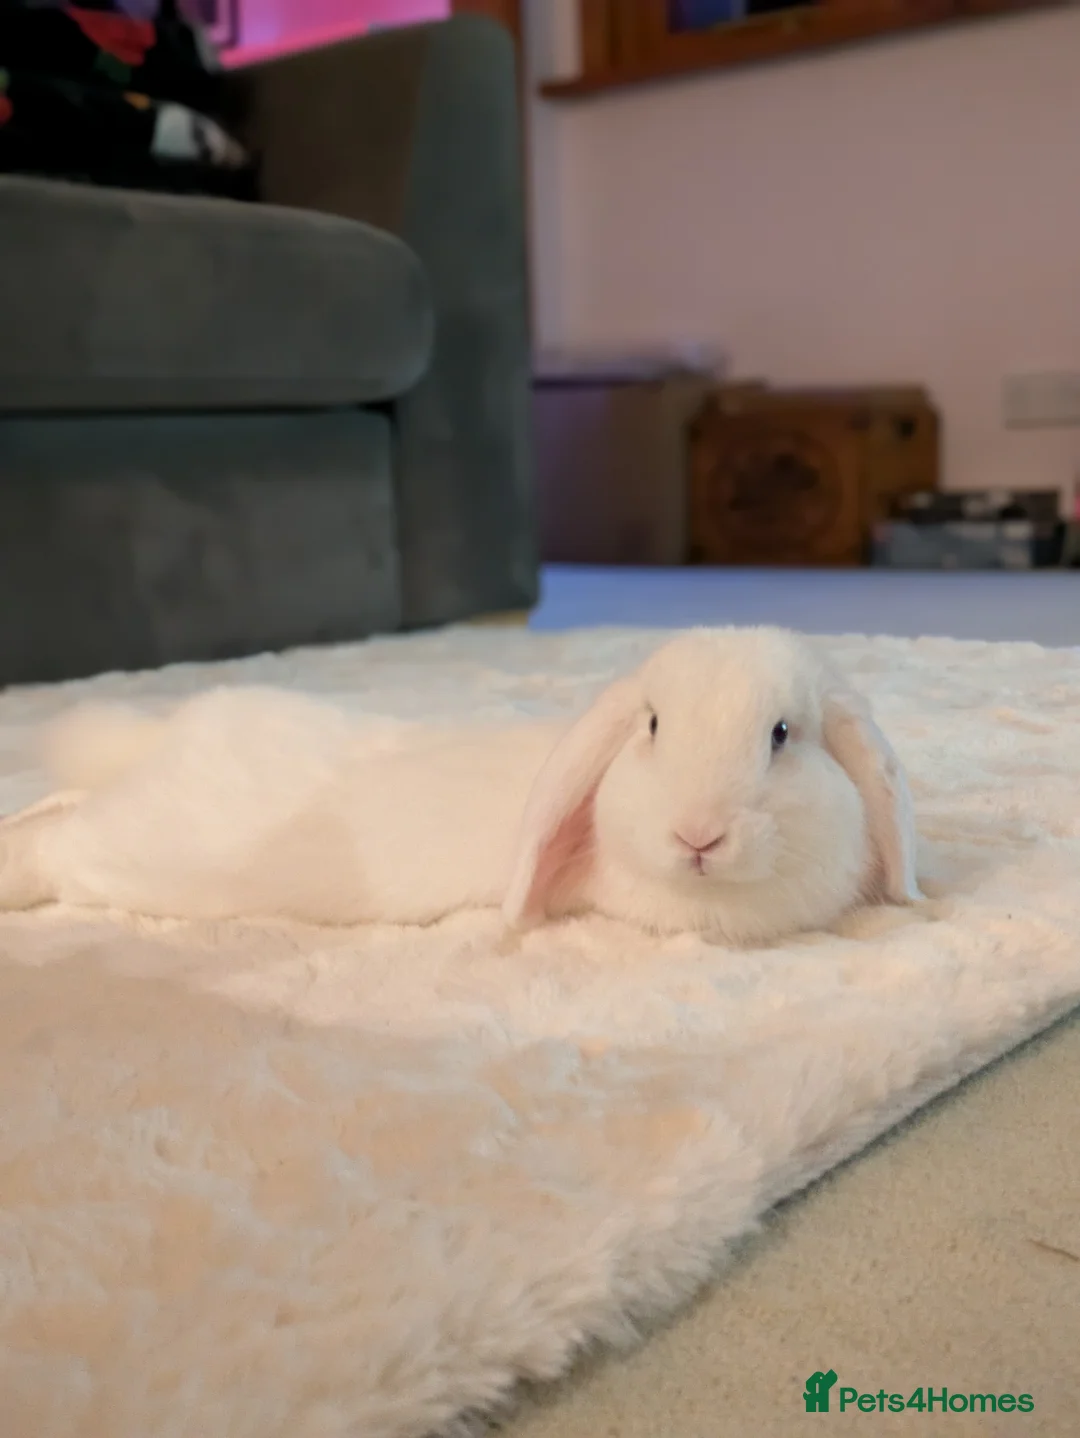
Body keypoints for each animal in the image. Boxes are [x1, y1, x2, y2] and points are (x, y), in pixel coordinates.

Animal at [0, 626, 922, 943]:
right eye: (654, 726)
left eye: (781, 735)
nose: (698, 835)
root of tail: (174, 737)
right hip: (134, 855)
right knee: (56, 842)